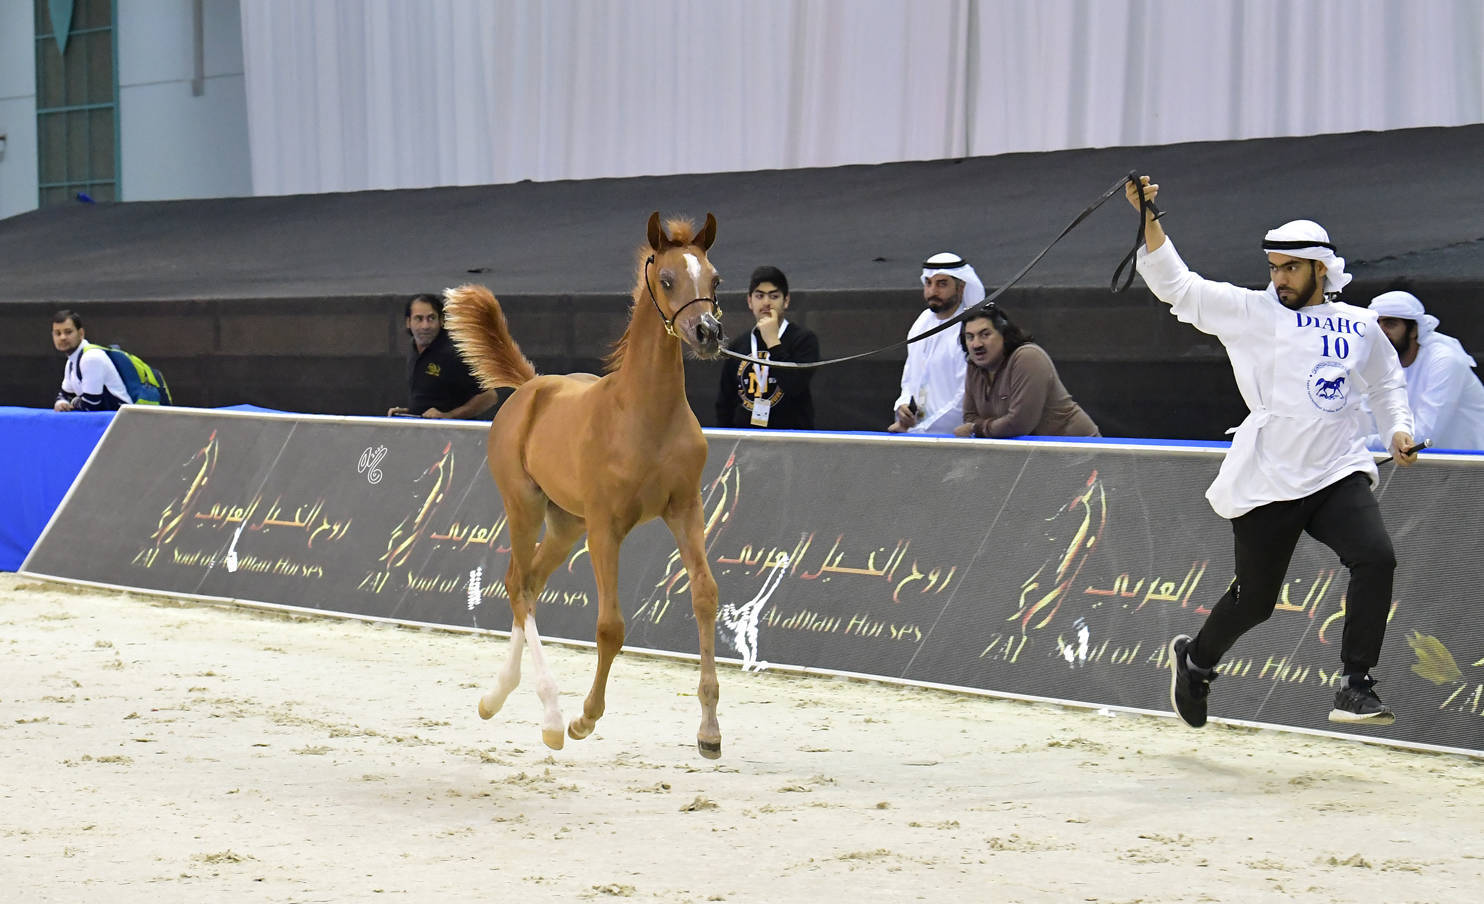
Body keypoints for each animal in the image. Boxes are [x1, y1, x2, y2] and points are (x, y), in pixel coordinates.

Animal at [442, 212, 727, 759]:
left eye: (715, 279)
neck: (645, 415)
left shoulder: (686, 509)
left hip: (565, 524)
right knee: (517, 585)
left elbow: (705, 596)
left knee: (530, 582)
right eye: (666, 279)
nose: (707, 332)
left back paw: (498, 697)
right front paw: (584, 719)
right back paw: (550, 716)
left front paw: (709, 731)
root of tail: (531, 385)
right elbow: (610, 626)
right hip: (525, 506)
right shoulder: (605, 527)